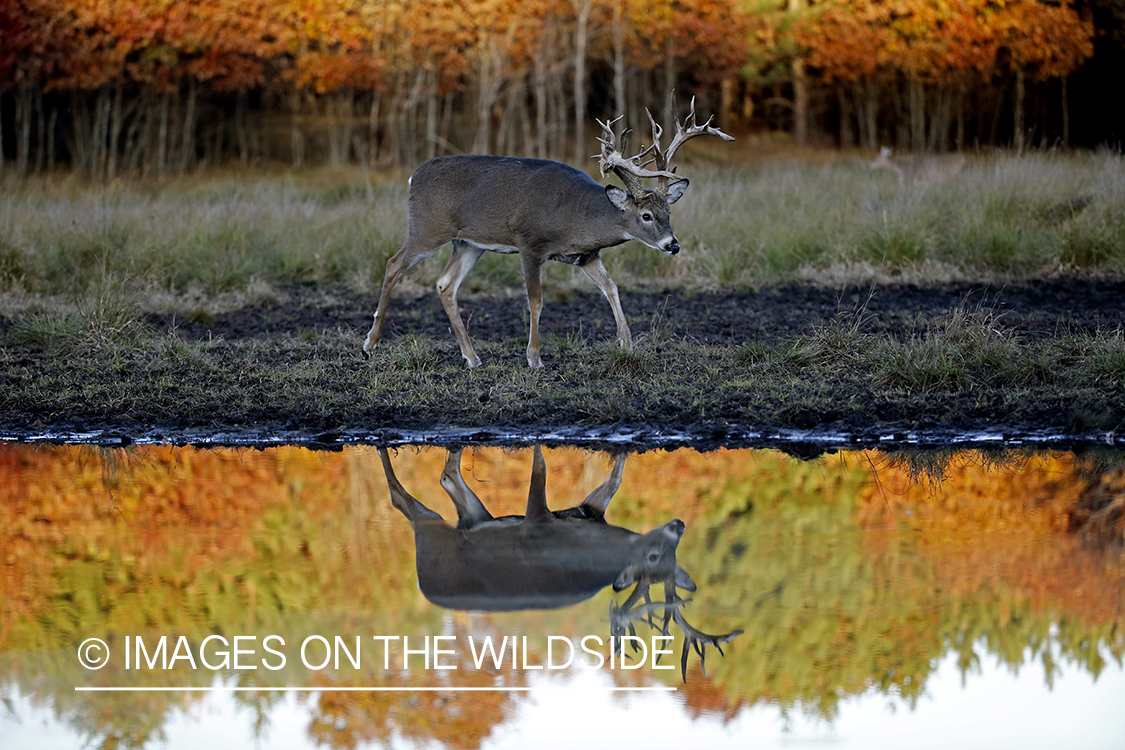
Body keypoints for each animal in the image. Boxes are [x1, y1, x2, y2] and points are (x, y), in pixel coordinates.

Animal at [362, 98, 738, 368]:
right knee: (393, 264)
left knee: (445, 284)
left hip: (468, 243)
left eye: (668, 213)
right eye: (646, 215)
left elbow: (612, 288)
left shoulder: (586, 255)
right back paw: (371, 342)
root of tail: (413, 176)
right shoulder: (530, 244)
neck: (576, 218)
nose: (672, 245)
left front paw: (627, 343)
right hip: (426, 229)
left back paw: (472, 357)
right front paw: (534, 357)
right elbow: (536, 300)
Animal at [382, 445, 742, 679]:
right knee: (404, 500)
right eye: (653, 556)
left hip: (470, 519)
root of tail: (424, 585)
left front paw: (623, 455)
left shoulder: (585, 511)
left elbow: (614, 482)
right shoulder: (538, 524)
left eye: (673, 555)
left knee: (448, 477)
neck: (585, 548)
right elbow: (541, 467)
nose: (679, 524)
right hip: (432, 535)